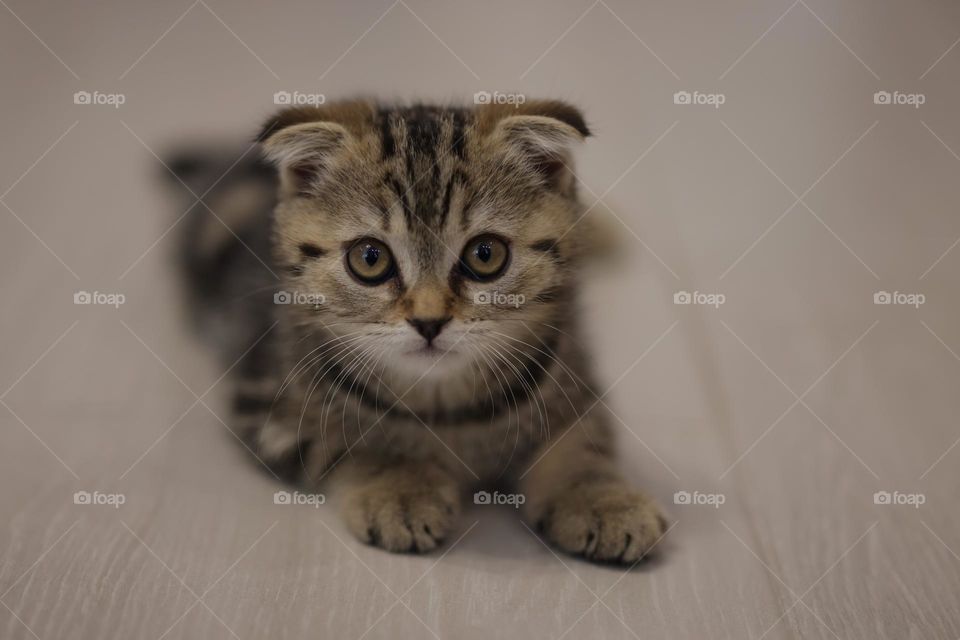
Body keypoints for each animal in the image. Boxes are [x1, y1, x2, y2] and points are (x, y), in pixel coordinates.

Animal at [169, 97, 668, 564]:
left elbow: (582, 443)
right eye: (369, 259)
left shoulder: (571, 368)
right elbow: (356, 445)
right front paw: (400, 489)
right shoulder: (265, 407)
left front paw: (603, 500)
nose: (429, 321)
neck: (446, 408)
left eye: (486, 254)